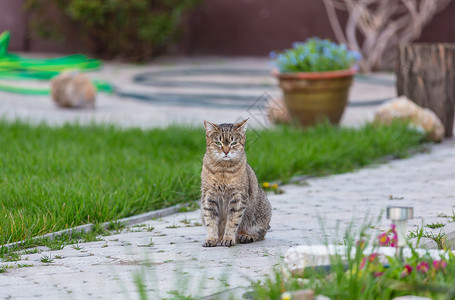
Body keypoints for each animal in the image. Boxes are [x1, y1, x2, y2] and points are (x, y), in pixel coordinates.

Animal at [200, 118, 270, 247]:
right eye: (218, 143)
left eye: (233, 143)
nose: (226, 151)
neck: (223, 170)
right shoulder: (209, 196)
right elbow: (211, 221)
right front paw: (211, 238)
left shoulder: (238, 197)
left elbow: (232, 221)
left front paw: (228, 238)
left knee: (260, 234)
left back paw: (245, 236)